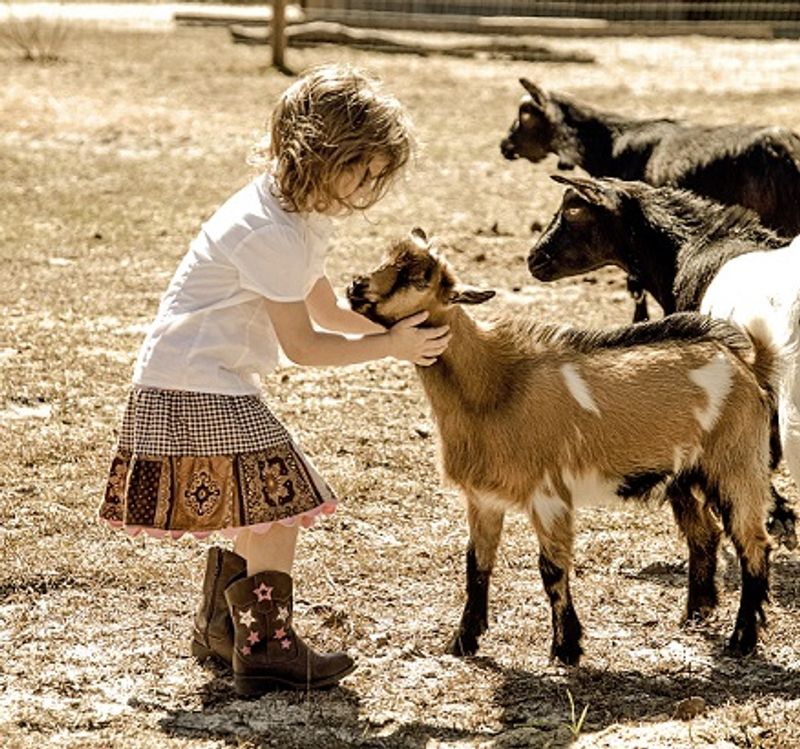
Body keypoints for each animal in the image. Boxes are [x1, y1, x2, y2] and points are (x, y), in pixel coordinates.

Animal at [348, 227, 774, 663]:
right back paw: (695, 615)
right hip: (685, 475)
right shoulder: (483, 497)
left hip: (737, 466)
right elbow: (476, 564)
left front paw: (566, 647)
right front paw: (464, 641)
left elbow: (551, 568)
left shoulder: (548, 493)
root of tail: (748, 365)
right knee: (704, 534)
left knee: (753, 544)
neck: (494, 386)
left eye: (419, 278)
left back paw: (742, 640)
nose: (355, 286)